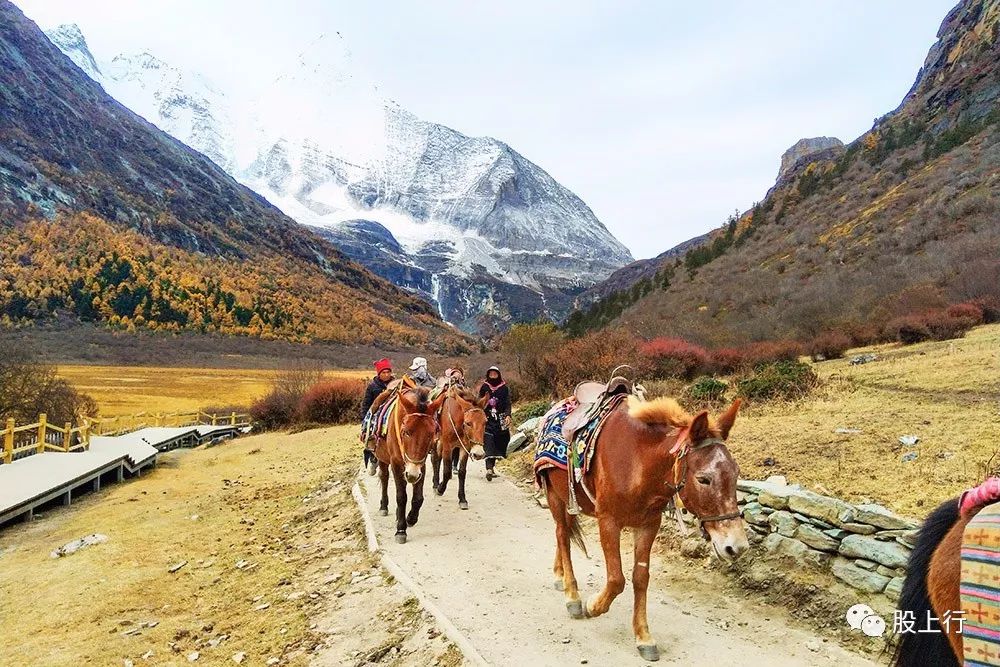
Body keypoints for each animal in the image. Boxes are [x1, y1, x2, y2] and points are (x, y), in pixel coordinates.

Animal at [376, 386, 446, 544]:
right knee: (384, 478)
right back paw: (383, 506)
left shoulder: (420, 465)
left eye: (431, 434)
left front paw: (410, 518)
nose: (412, 474)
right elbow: (401, 497)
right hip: (383, 458)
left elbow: (418, 498)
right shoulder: (396, 463)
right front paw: (401, 530)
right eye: (406, 432)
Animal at [544, 396, 748, 664]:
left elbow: (641, 578)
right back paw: (572, 596)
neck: (638, 460)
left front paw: (643, 637)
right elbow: (616, 579)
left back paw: (560, 577)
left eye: (735, 474)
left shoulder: (648, 525)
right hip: (554, 496)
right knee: (561, 535)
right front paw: (593, 606)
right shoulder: (608, 521)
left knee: (564, 533)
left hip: (569, 500)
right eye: (704, 479)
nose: (737, 546)